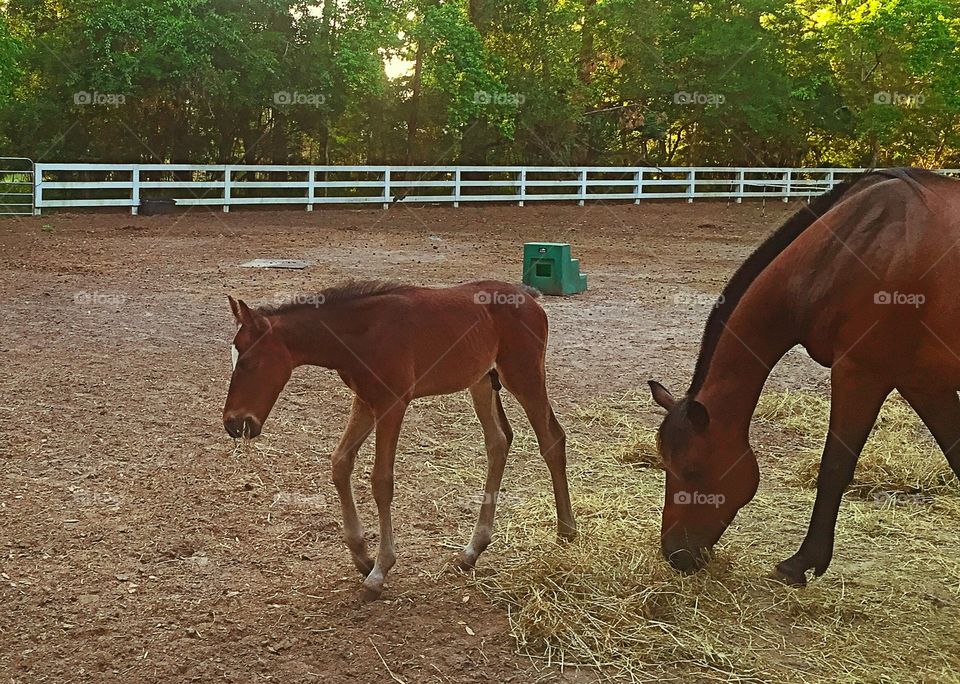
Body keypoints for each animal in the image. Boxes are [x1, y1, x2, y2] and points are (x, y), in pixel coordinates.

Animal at [221, 280, 572, 600]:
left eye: (249, 362)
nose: (233, 423)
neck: (361, 332)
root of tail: (529, 297)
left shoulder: (392, 404)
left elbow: (381, 481)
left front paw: (378, 571)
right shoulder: (365, 401)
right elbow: (340, 463)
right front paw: (362, 557)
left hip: (524, 376)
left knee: (552, 439)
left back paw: (566, 533)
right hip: (483, 381)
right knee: (498, 442)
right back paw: (471, 551)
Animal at [648, 168, 960, 584]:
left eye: (692, 469)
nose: (676, 554)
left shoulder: (860, 373)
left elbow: (834, 468)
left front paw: (801, 563)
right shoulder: (925, 383)